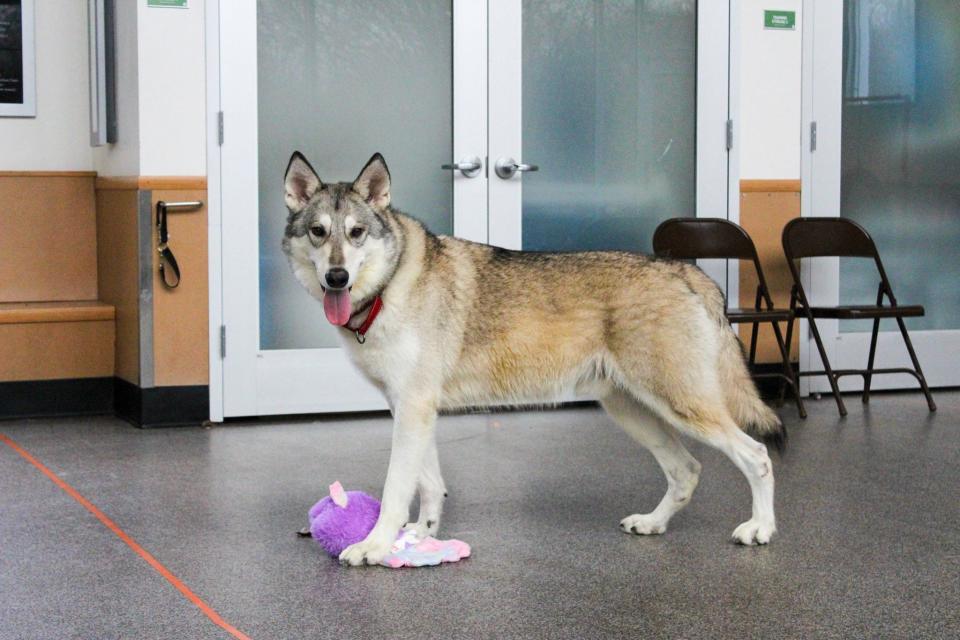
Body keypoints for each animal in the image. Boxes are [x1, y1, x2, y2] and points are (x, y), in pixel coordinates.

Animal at [282, 150, 784, 564]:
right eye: (318, 232)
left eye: (356, 233)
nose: (336, 277)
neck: (390, 287)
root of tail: (684, 270)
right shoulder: (411, 409)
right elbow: (428, 485)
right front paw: (421, 536)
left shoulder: (414, 409)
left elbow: (394, 490)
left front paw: (374, 546)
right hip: (634, 412)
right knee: (686, 471)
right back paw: (652, 523)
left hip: (683, 407)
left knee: (757, 455)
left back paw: (760, 528)